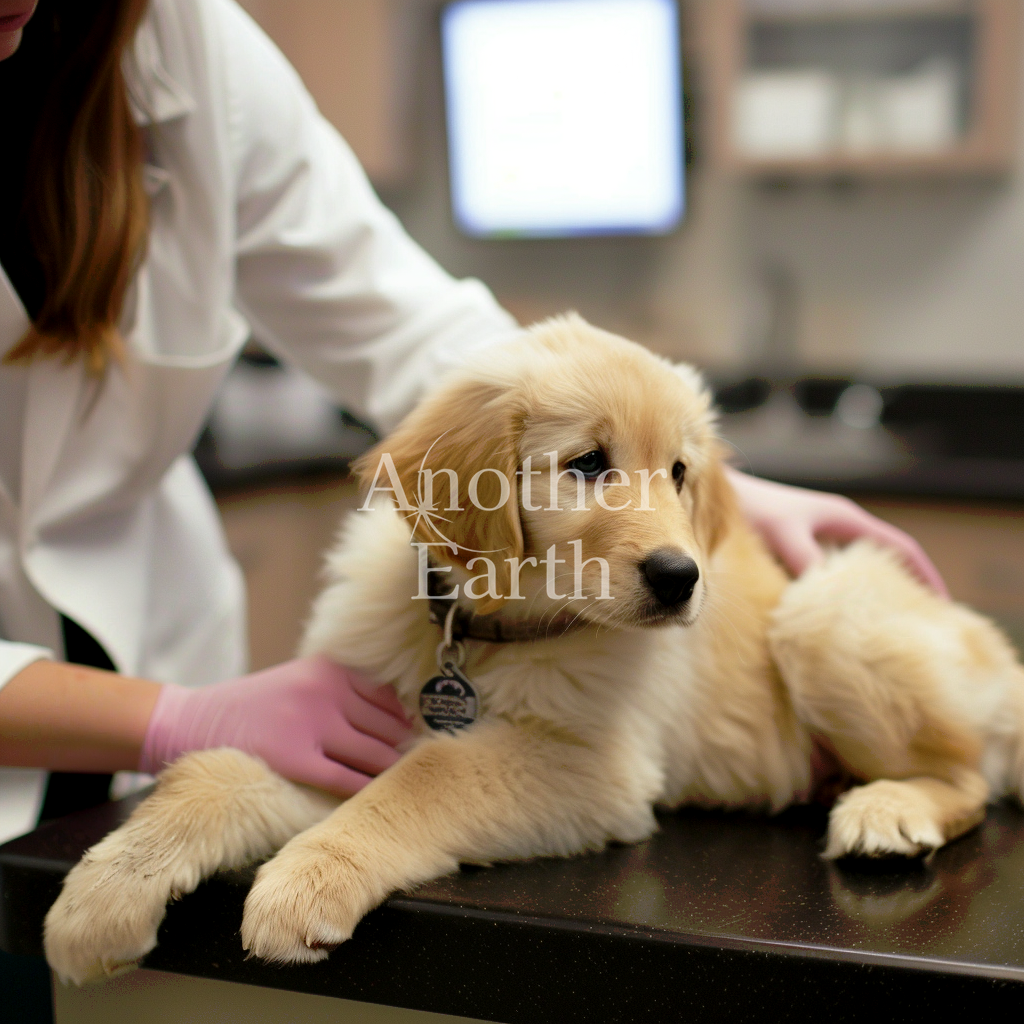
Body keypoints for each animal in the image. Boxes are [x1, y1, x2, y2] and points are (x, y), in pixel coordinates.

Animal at [44, 313, 1024, 983]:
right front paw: (104, 893)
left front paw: (304, 881)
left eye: (680, 473)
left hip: (825, 612)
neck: (494, 632)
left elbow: (427, 778)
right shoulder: (350, 732)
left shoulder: (596, 773)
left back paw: (886, 810)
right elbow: (214, 770)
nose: (683, 578)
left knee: (968, 775)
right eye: (587, 463)